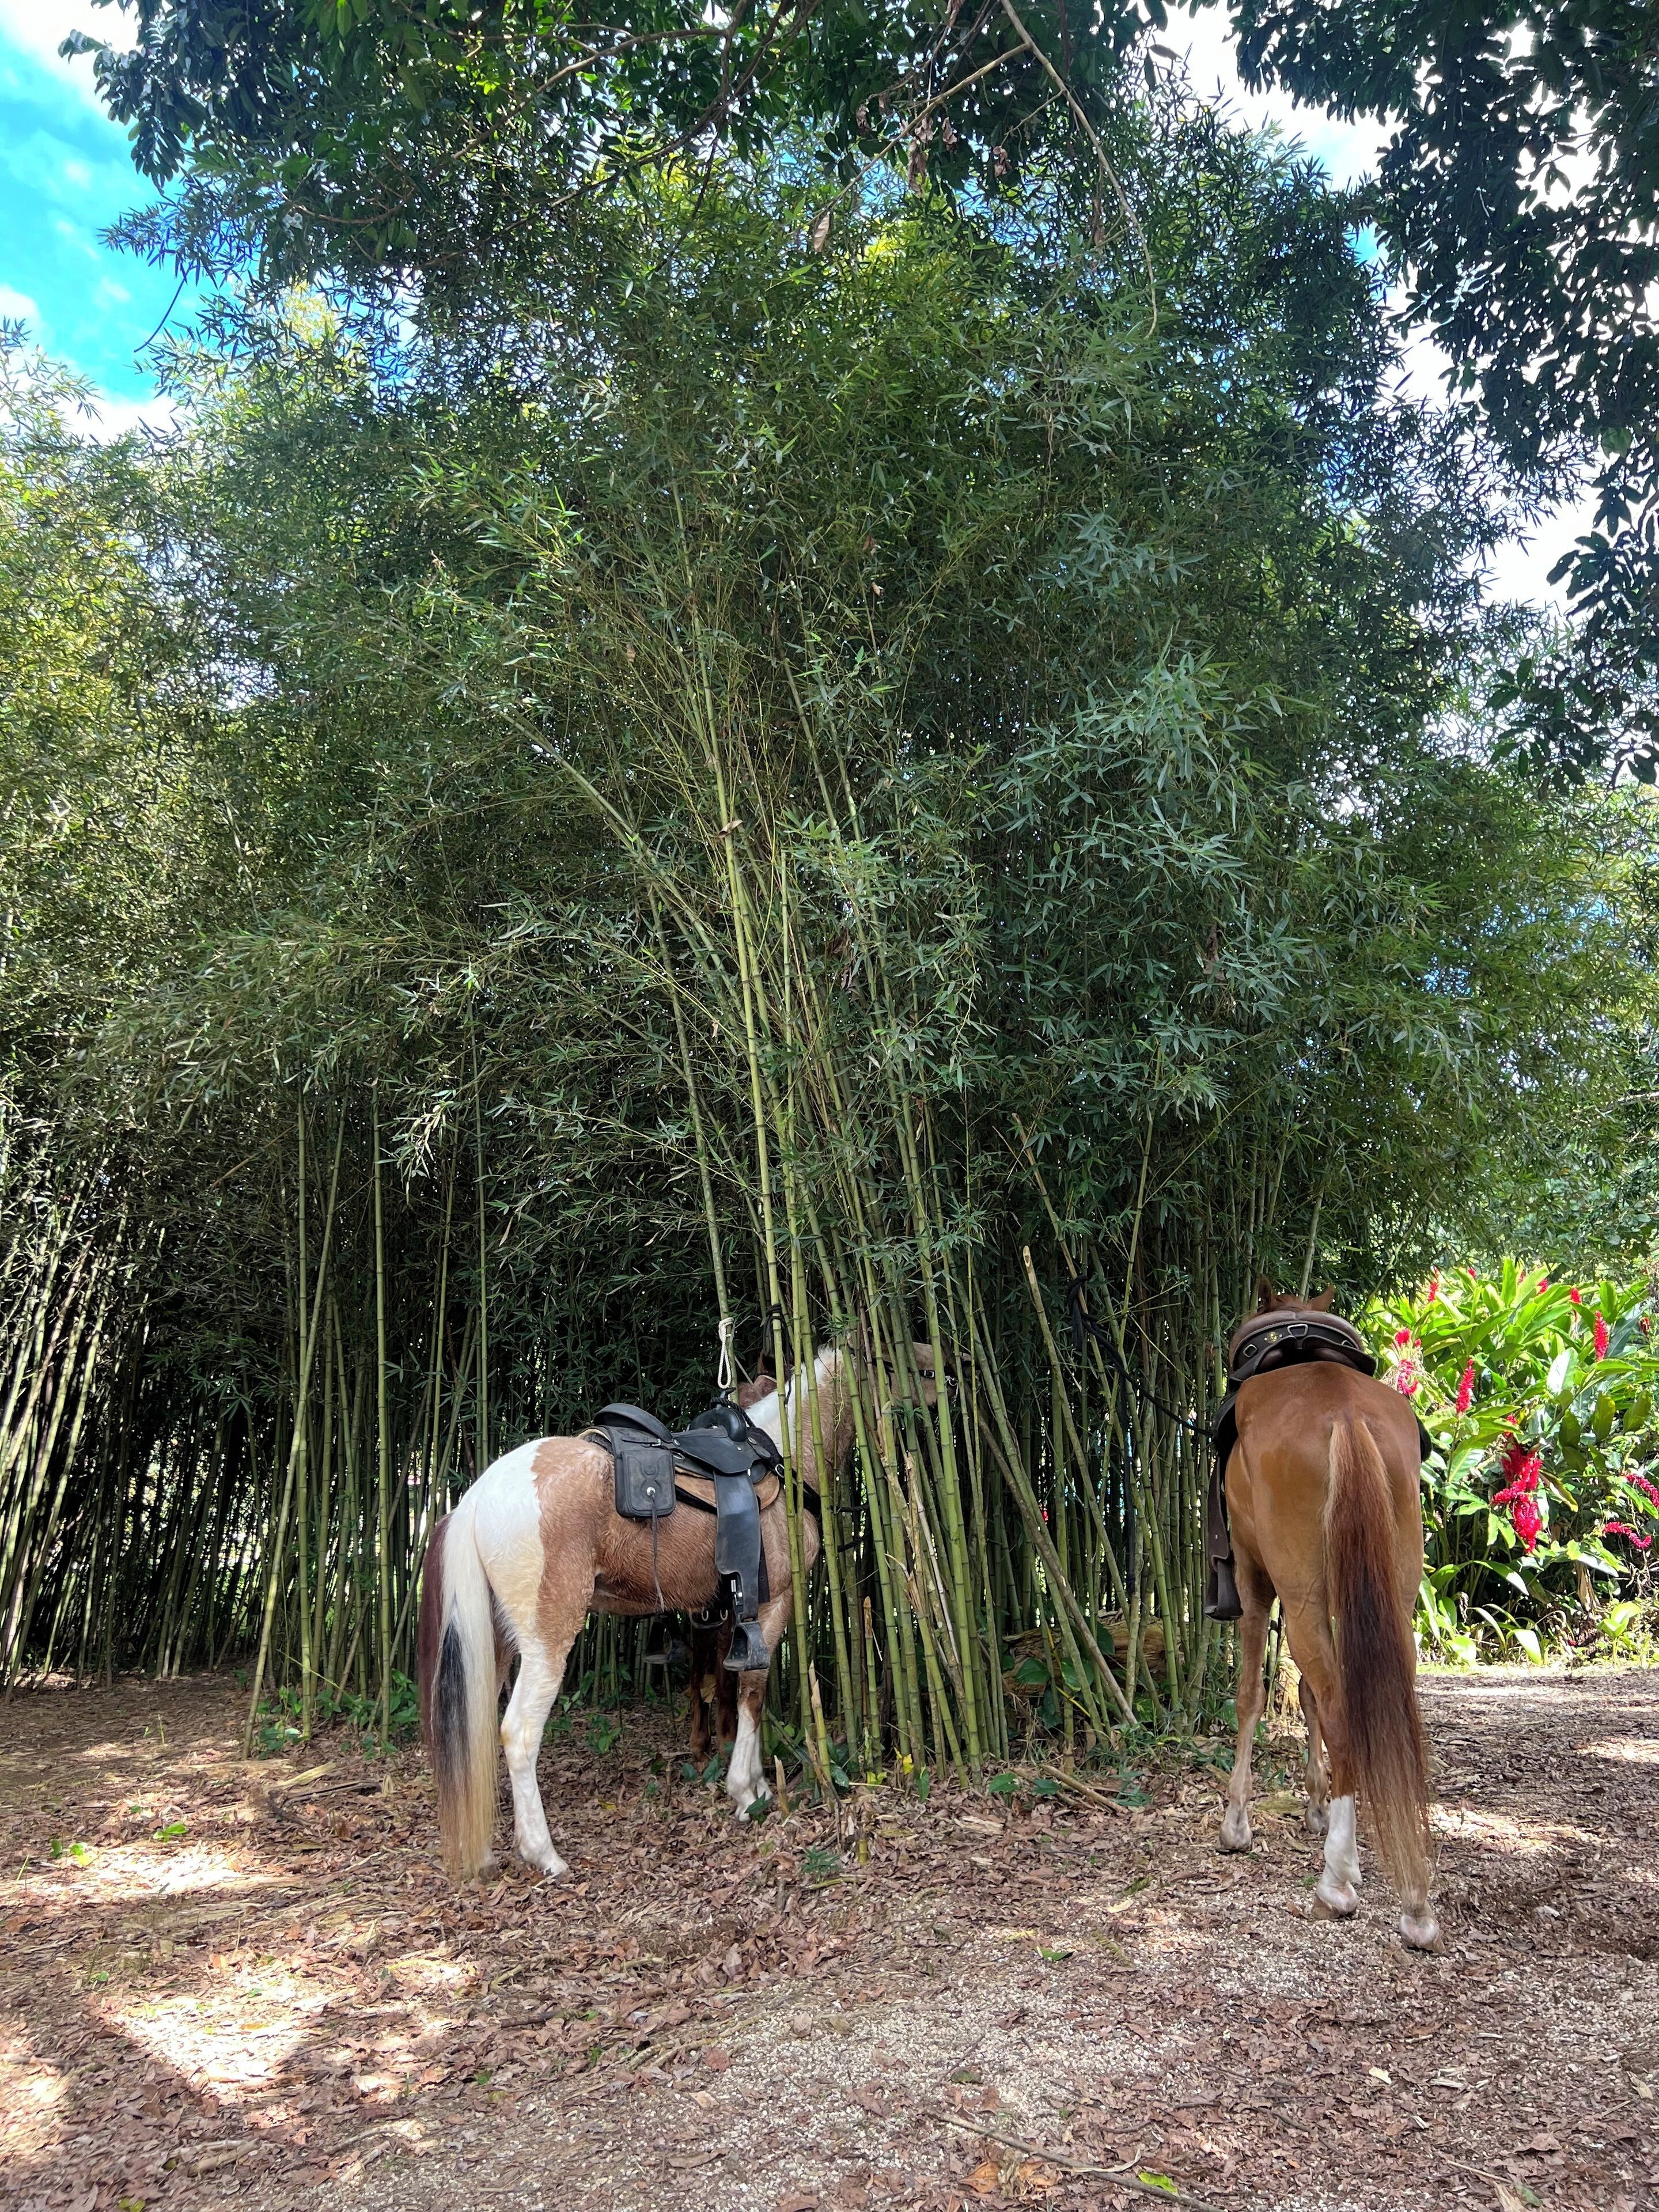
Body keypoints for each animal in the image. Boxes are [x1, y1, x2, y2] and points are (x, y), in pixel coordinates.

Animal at [417, 1341, 937, 1881]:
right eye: (909, 1365)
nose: (946, 1390)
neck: (784, 1458)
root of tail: (478, 1498)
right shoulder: (773, 1604)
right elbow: (753, 1692)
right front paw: (746, 1792)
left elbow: (729, 1689)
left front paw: (753, 1781)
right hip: (547, 1639)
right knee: (519, 1733)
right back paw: (544, 1853)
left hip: (496, 1641)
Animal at [1217, 1281, 1439, 1950]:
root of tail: (1344, 1413)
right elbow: (1306, 1695)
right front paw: (1316, 1804)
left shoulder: (1256, 1580)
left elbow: (1253, 1696)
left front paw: (1237, 1823)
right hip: (1393, 1592)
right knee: (1377, 1704)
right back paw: (1415, 1899)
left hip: (1298, 1592)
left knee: (1342, 1712)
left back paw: (1338, 1881)